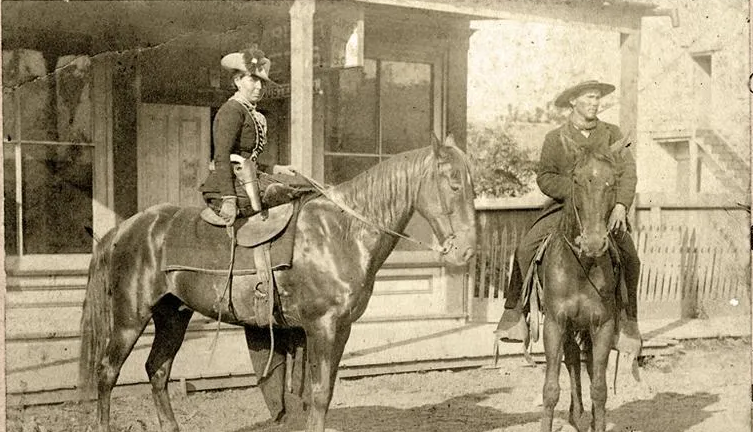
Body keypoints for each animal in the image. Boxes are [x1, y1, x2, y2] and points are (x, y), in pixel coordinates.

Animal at [78, 137, 476, 432]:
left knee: (157, 370)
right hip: (129, 318)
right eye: (454, 184)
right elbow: (318, 394)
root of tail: (124, 229)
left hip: (173, 315)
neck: (342, 232)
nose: (467, 251)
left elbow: (322, 393)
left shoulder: (341, 329)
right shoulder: (321, 328)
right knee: (107, 372)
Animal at [540, 138, 628, 432]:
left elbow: (599, 388)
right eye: (576, 179)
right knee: (572, 360)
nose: (593, 243)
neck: (580, 266)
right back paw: (576, 415)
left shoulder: (603, 325)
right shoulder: (555, 324)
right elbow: (550, 390)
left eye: (613, 181)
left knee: (585, 363)